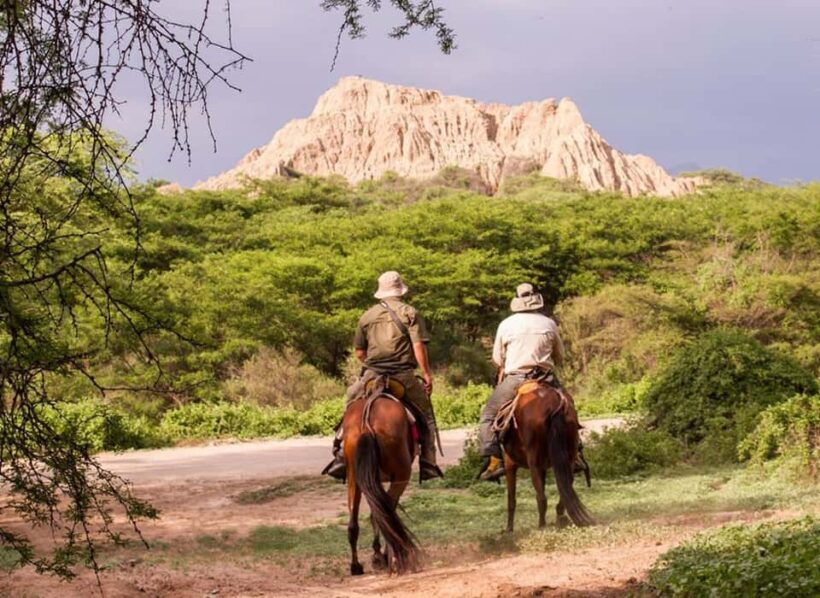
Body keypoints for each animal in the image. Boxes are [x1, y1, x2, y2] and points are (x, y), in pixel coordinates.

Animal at [342, 394, 420, 576]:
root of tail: (367, 424)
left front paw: (378, 554)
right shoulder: (395, 479)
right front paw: (383, 555)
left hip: (354, 476)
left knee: (355, 520)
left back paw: (356, 565)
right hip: (401, 475)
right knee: (386, 514)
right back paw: (393, 557)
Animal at [500, 382, 596, 532]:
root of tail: (557, 402)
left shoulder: (510, 464)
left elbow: (511, 499)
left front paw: (509, 529)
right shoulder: (543, 467)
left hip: (534, 463)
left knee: (542, 498)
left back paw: (542, 526)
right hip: (568, 458)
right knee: (565, 488)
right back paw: (561, 519)